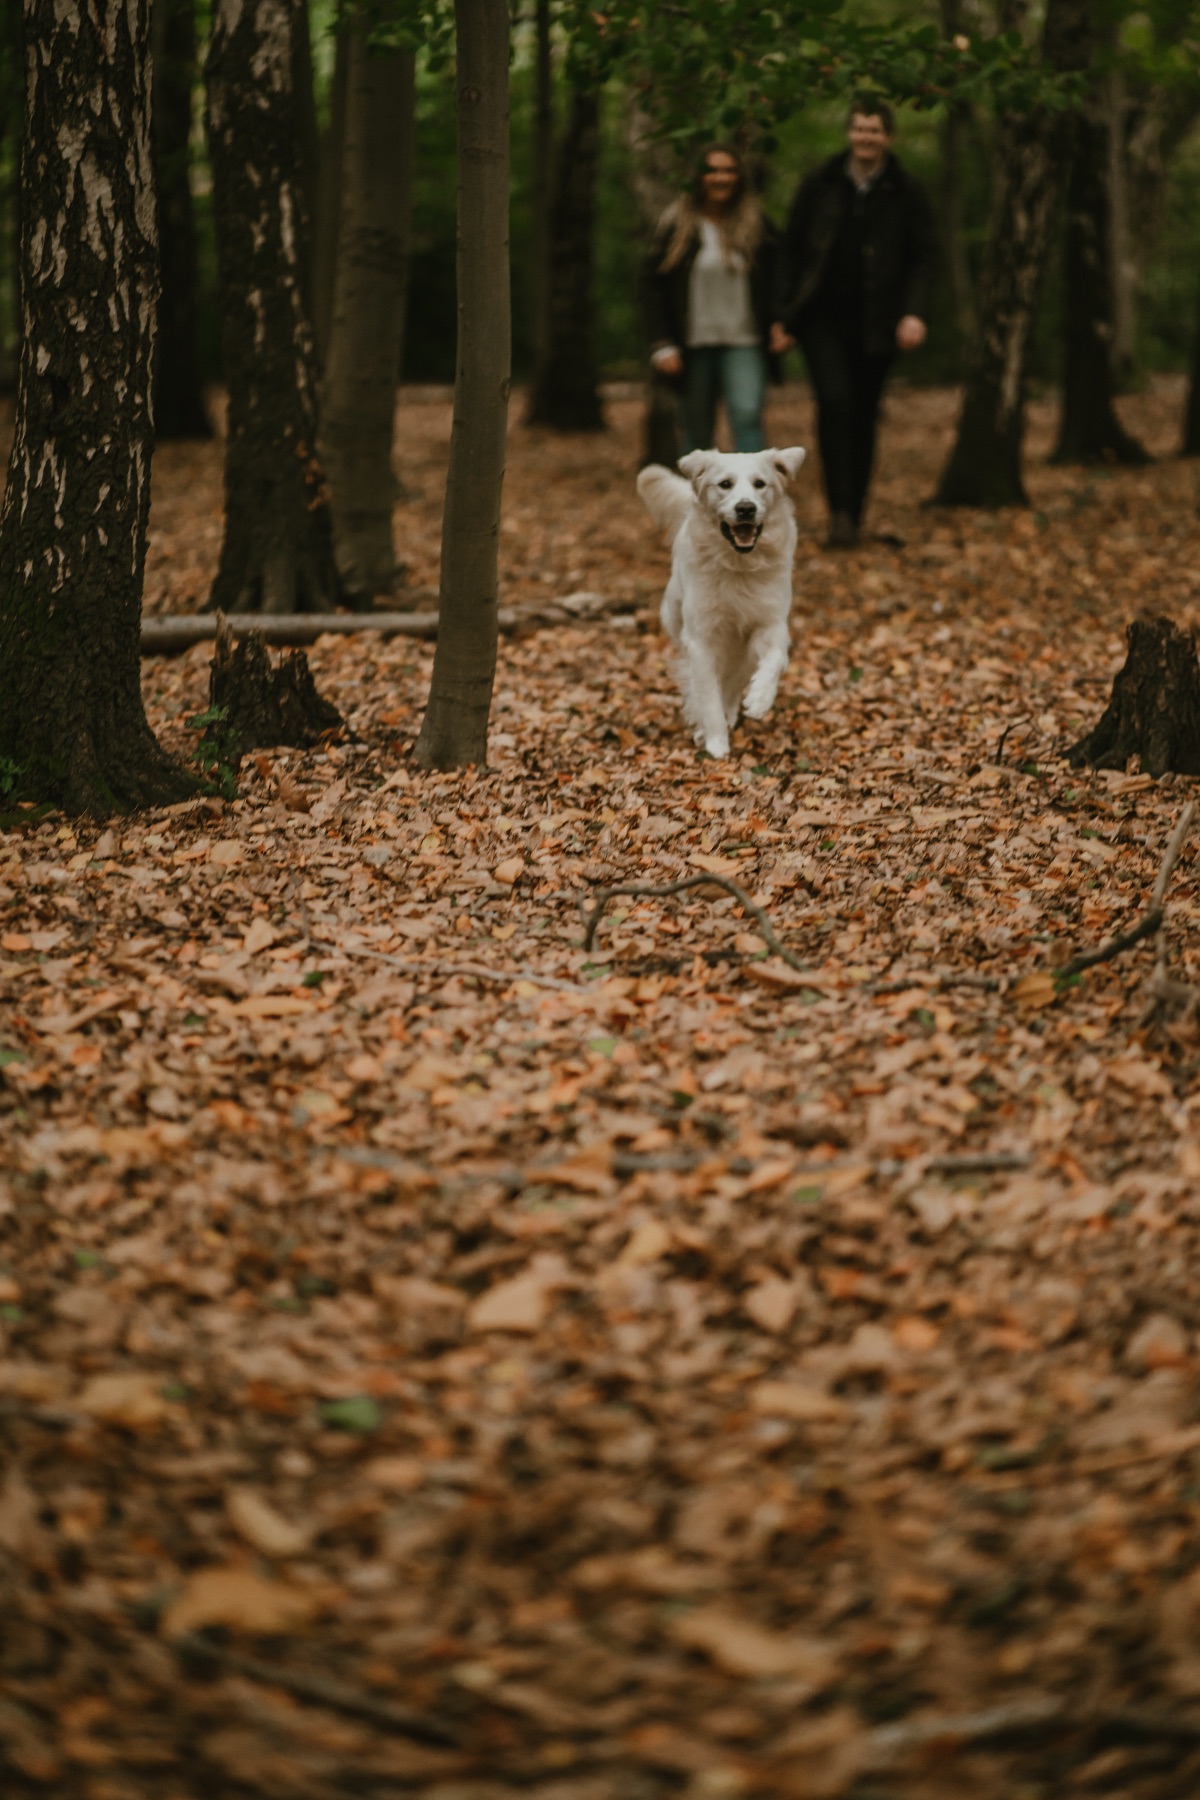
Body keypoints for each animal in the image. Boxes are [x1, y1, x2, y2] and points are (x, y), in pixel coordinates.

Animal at [636, 453, 805, 763]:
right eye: (725, 484)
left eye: (760, 484)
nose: (746, 508)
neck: (738, 566)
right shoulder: (701, 640)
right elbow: (707, 696)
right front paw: (715, 742)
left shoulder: (769, 624)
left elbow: (774, 659)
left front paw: (760, 698)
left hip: (741, 649)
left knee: (733, 679)